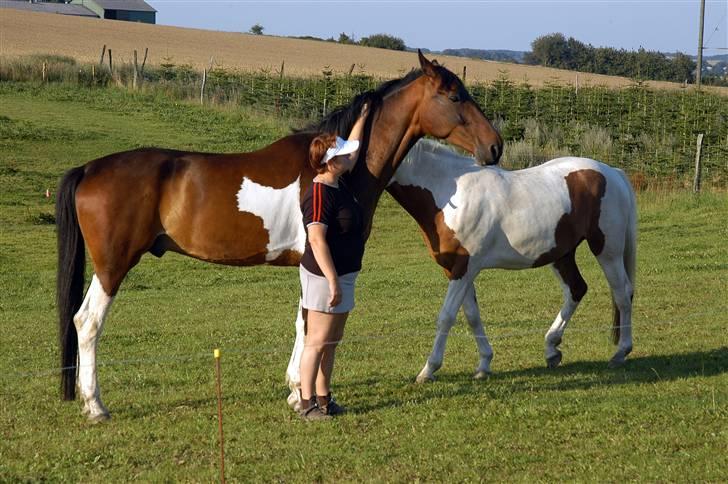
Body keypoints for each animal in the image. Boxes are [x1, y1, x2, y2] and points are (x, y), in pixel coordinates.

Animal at [57, 50, 504, 420]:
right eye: (455, 96)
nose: (495, 146)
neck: (335, 168)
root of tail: (89, 168)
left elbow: (303, 320)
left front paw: (294, 389)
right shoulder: (324, 261)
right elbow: (310, 324)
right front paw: (301, 394)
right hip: (114, 266)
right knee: (88, 322)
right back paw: (96, 405)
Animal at [384, 140, 636, 382]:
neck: (449, 192)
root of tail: (613, 173)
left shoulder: (465, 269)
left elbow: (446, 317)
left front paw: (428, 370)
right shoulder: (457, 271)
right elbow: (472, 316)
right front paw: (484, 365)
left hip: (607, 250)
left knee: (622, 294)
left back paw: (620, 352)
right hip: (561, 255)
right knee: (576, 289)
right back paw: (551, 349)